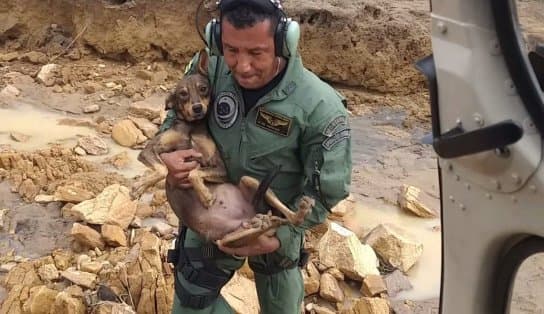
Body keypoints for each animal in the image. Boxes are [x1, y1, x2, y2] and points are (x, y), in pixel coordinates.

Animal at [134, 49, 312, 248]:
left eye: (203, 88)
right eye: (183, 94)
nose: (197, 108)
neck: (192, 127)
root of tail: (249, 216)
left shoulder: (220, 168)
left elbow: (194, 172)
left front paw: (204, 195)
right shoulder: (149, 150)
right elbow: (164, 169)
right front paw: (140, 186)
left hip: (251, 181)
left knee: (290, 218)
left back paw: (292, 213)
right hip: (227, 239)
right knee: (260, 228)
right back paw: (264, 222)